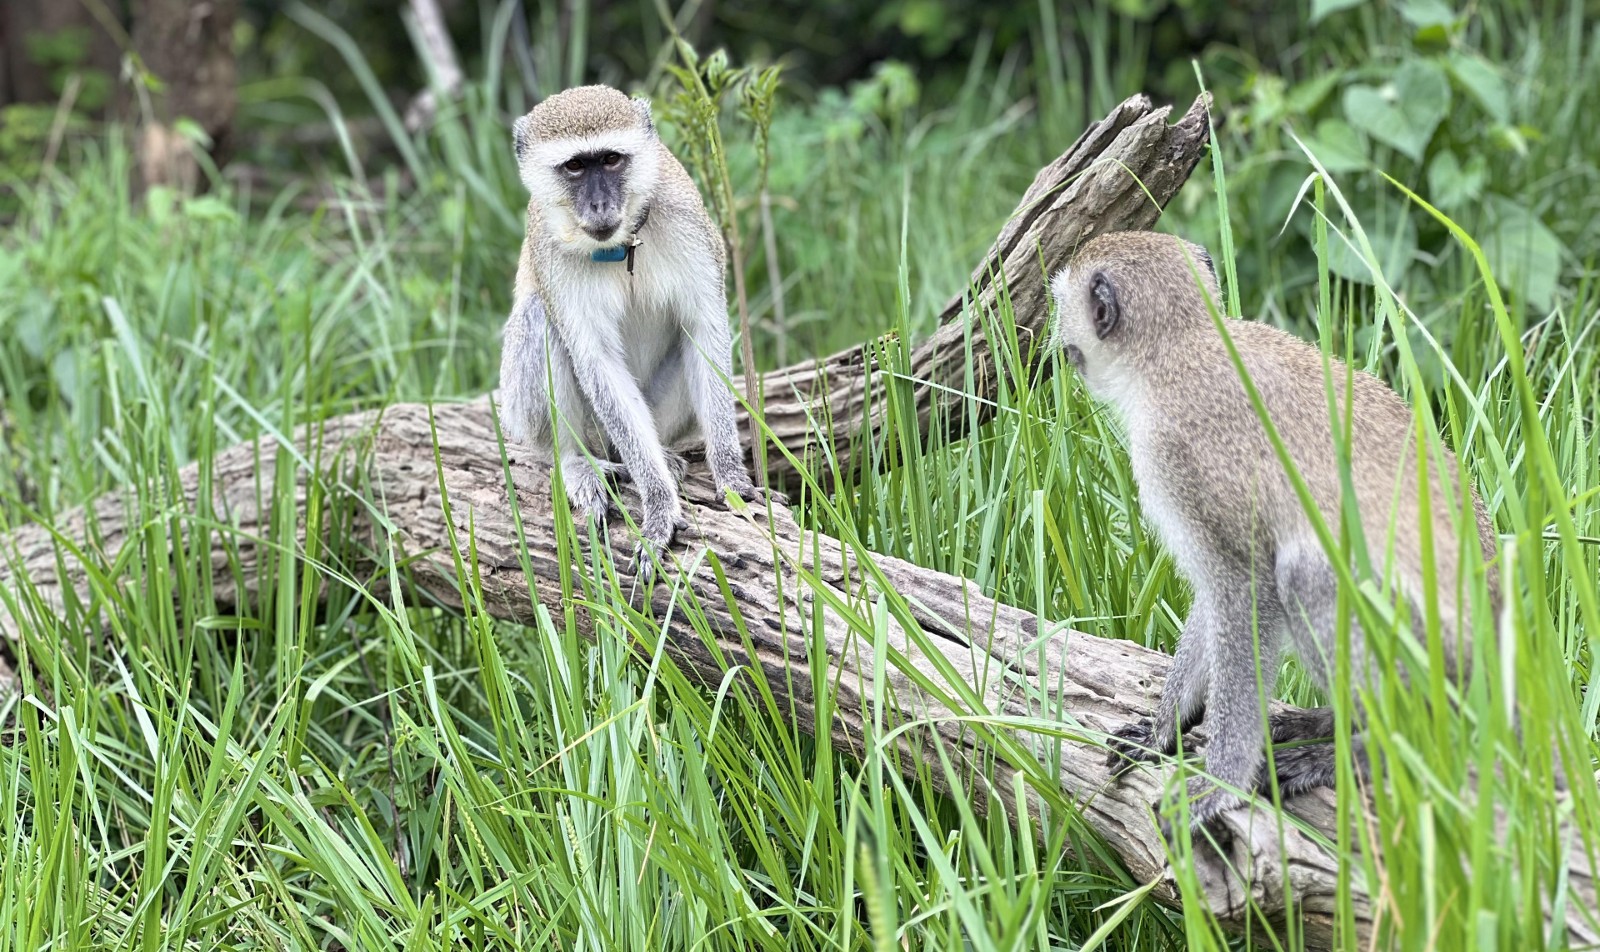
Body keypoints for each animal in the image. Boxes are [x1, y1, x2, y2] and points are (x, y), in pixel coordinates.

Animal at [496, 85, 777, 576]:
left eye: (611, 160)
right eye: (575, 166)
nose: (599, 206)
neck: (621, 244)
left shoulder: (687, 220)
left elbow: (703, 333)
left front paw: (732, 480)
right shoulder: (550, 249)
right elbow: (597, 361)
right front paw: (659, 505)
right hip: (541, 415)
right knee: (537, 318)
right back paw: (578, 463)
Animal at [1049, 230, 1497, 832]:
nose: (1058, 346)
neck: (1178, 349)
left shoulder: (1179, 457)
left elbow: (1247, 591)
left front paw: (1220, 781)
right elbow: (1215, 598)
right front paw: (1163, 730)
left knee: (1305, 574)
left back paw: (1367, 750)